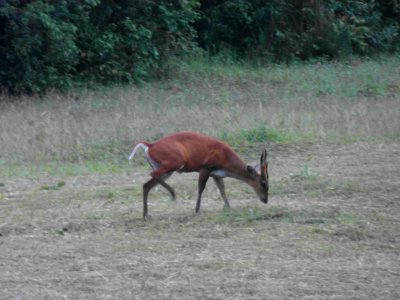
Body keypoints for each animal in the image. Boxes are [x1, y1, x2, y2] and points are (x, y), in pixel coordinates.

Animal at [130, 131, 270, 218]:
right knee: (152, 174)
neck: (225, 159)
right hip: (175, 162)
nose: (265, 200)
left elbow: (222, 189)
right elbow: (201, 188)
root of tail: (150, 145)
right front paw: (196, 209)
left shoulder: (217, 174)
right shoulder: (205, 167)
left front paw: (228, 207)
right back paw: (173, 193)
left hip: (166, 168)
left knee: (146, 185)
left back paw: (146, 214)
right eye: (263, 183)